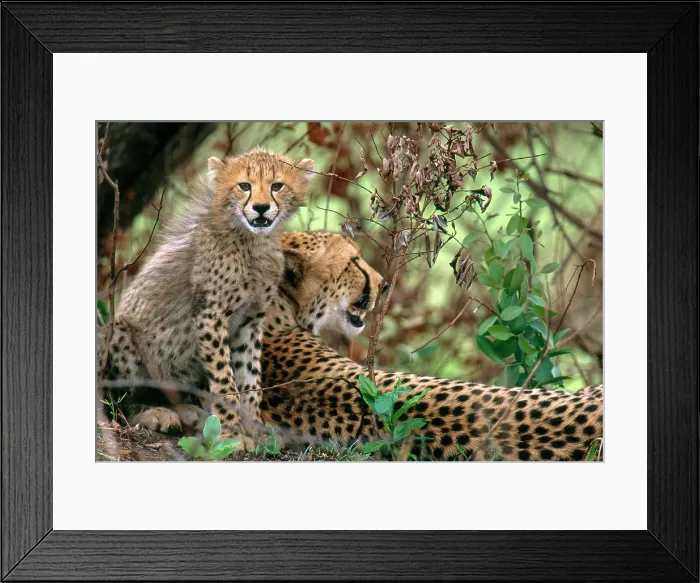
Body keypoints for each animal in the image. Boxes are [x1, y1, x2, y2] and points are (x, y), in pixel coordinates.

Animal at [101, 148, 315, 450]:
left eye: (277, 186)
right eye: (244, 186)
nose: (261, 208)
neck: (252, 241)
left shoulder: (250, 321)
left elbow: (249, 379)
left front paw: (255, 430)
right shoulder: (211, 316)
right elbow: (225, 382)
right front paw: (232, 436)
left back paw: (188, 412)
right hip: (117, 334)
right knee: (119, 402)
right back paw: (156, 414)